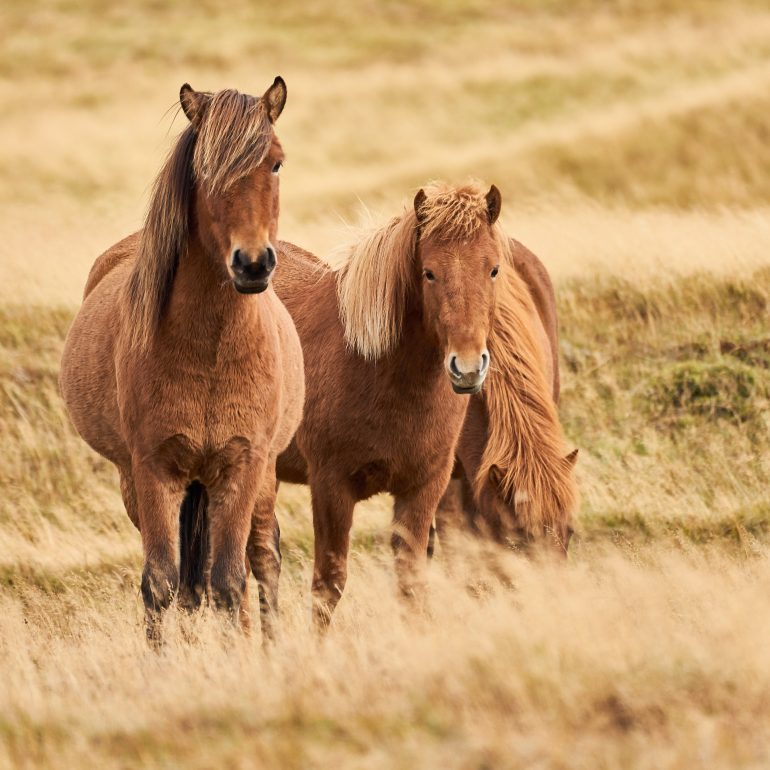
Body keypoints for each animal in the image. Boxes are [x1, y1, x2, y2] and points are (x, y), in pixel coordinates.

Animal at [59, 78, 304, 644]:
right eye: (203, 170)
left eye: (276, 163)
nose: (252, 264)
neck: (211, 351)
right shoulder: (154, 472)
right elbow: (162, 584)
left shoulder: (243, 466)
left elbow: (230, 581)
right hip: (147, 485)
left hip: (260, 481)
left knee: (261, 559)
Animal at [274, 182, 505, 629]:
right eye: (429, 272)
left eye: (493, 270)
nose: (468, 368)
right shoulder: (331, 487)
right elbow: (327, 586)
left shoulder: (423, 489)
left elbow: (410, 582)